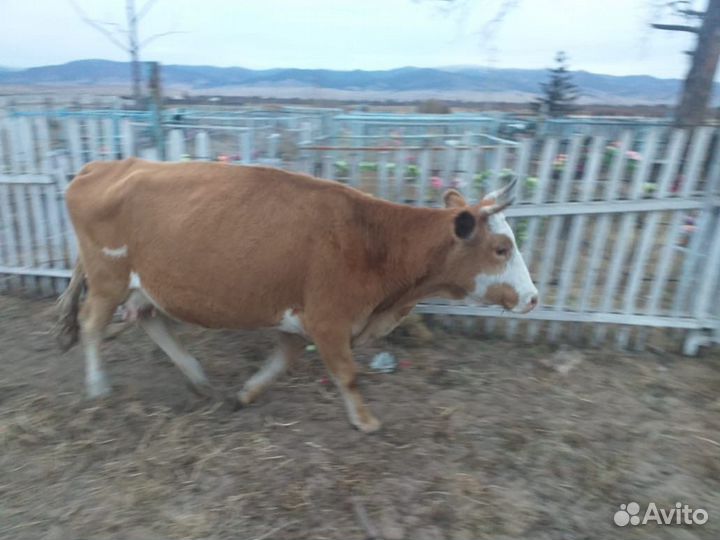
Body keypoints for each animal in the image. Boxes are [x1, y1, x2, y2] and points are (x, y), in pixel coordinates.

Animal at [55, 158, 538, 433]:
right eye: (502, 248)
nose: (533, 298)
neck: (373, 239)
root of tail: (99, 167)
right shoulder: (328, 319)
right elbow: (347, 374)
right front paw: (365, 421)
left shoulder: (299, 319)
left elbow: (281, 362)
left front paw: (245, 394)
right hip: (108, 278)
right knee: (91, 323)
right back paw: (98, 387)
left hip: (146, 284)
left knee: (149, 318)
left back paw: (197, 377)